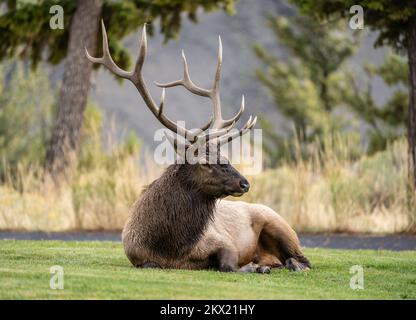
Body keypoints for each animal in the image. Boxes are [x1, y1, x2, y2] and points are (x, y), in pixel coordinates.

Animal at [86, 21, 310, 272]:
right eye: (205, 162)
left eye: (225, 157)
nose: (244, 183)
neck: (170, 248)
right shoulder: (138, 257)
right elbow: (151, 264)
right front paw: (256, 265)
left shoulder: (224, 242)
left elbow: (228, 264)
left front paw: (253, 266)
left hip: (280, 225)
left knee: (303, 259)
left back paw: (285, 264)